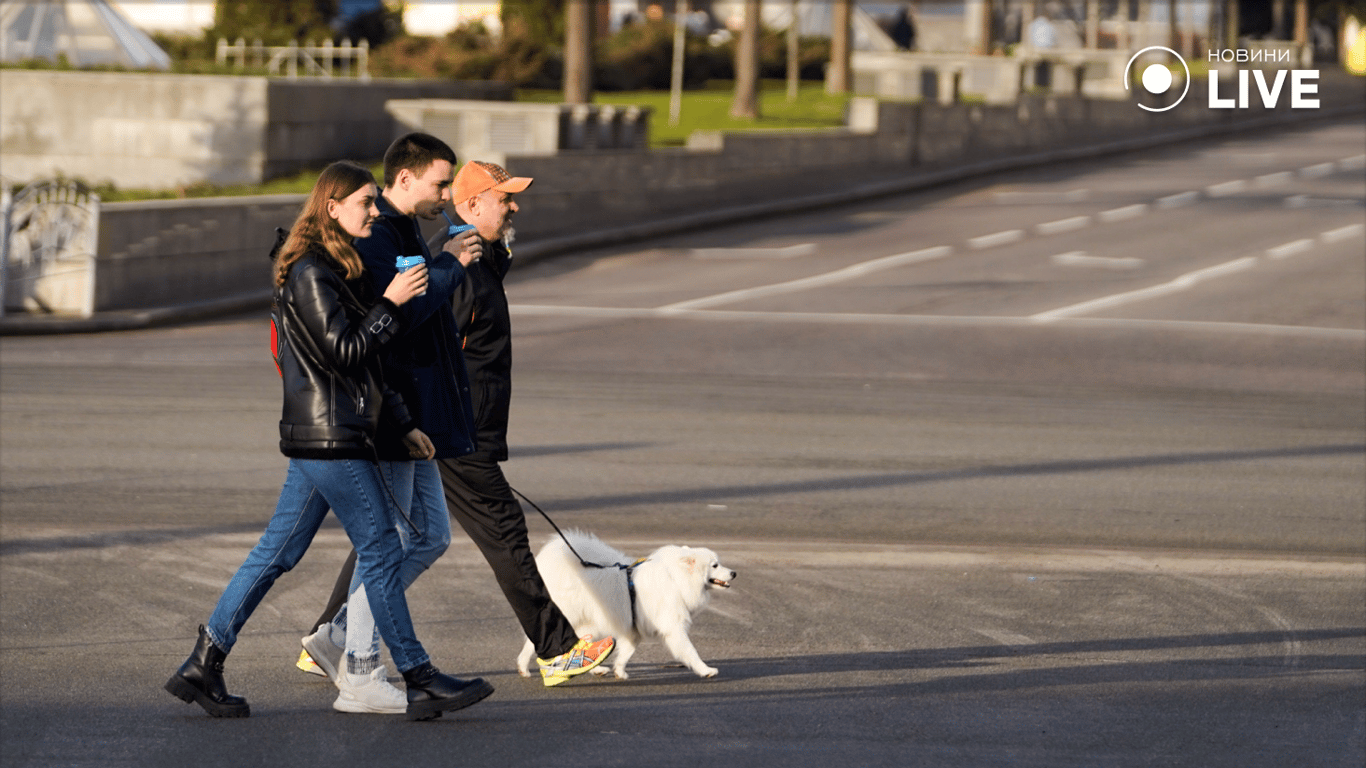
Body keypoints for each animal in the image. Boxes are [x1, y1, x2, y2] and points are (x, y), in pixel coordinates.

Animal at [513, 530, 737, 677]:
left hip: (589, 624)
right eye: (715, 565)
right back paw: (524, 667)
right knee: (536, 640)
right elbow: (690, 651)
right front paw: (706, 670)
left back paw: (596, 669)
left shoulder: (633, 629)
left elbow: (626, 653)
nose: (734, 573)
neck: (676, 578)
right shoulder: (673, 627)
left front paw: (619, 672)